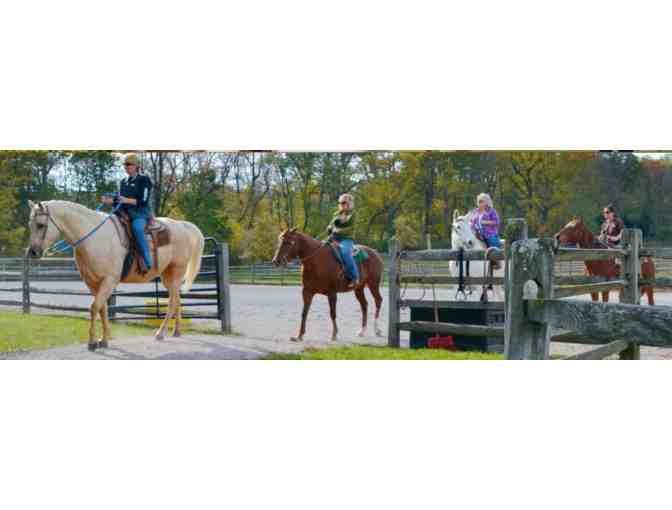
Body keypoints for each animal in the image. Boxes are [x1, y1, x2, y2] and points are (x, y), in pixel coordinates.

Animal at [26, 201, 205, 348]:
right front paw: (103, 340)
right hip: (167, 276)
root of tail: (182, 225)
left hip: (176, 271)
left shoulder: (109, 281)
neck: (94, 238)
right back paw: (177, 331)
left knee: (172, 302)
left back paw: (160, 333)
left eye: (41, 225)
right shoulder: (92, 282)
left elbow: (94, 307)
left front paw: (92, 342)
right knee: (177, 299)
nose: (32, 252)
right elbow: (102, 308)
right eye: (30, 224)